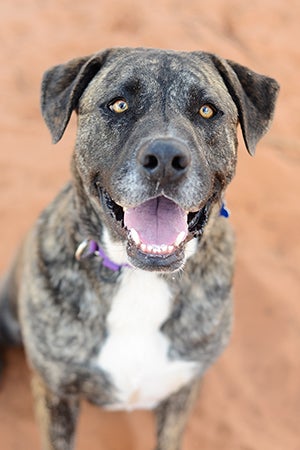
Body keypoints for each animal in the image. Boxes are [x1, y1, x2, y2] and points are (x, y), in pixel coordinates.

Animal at [0, 47, 278, 448]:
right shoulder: (57, 392)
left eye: (207, 110)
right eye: (119, 104)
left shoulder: (181, 391)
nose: (166, 160)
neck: (139, 278)